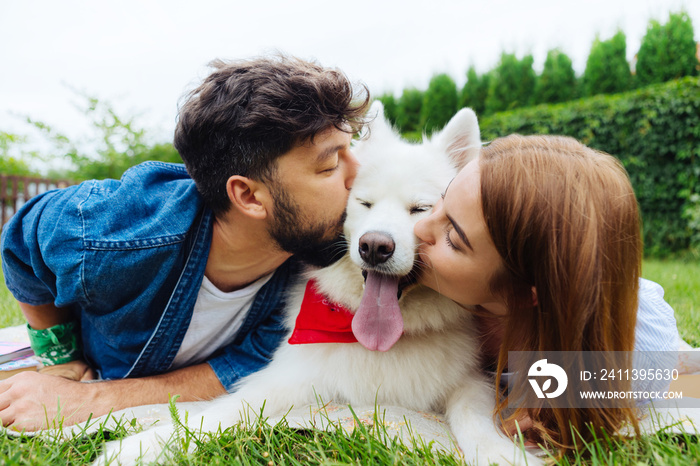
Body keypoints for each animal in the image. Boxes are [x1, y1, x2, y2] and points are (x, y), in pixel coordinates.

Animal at [97, 104, 536, 464]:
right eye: (364, 203)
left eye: (421, 209)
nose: (374, 246)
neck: (381, 344)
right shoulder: (289, 379)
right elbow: (223, 411)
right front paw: (140, 447)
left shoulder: (470, 380)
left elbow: (474, 418)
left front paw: (503, 454)